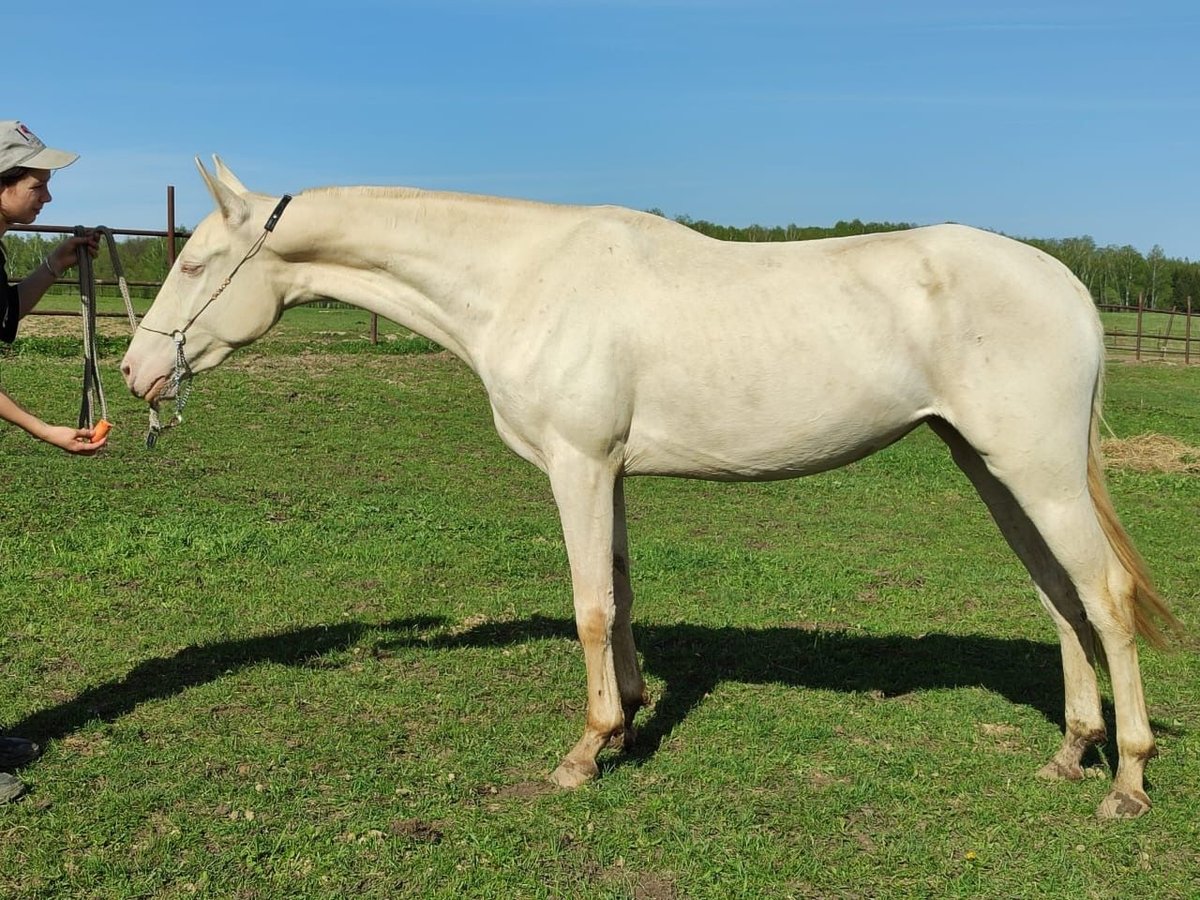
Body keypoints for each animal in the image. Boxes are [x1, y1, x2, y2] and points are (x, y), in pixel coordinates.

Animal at [121, 158, 1180, 820]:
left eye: (194, 262)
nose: (136, 374)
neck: (523, 280)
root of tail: (1067, 284)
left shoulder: (578, 465)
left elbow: (590, 605)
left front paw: (583, 753)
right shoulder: (610, 472)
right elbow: (622, 596)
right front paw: (628, 724)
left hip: (1036, 472)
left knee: (1105, 599)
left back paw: (1125, 780)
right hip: (993, 469)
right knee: (1059, 599)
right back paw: (1071, 749)